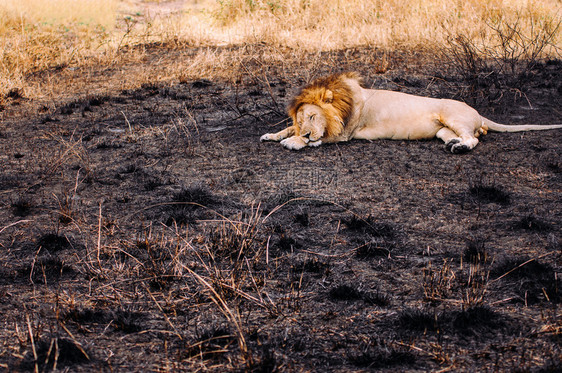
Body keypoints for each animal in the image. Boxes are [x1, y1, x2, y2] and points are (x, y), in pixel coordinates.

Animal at [260, 71, 560, 153]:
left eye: (312, 116)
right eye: (301, 118)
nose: (306, 132)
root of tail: (477, 111)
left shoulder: (345, 133)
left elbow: (318, 138)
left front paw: (295, 141)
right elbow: (285, 128)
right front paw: (273, 135)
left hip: (451, 115)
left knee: (474, 139)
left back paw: (460, 147)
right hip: (441, 130)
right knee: (465, 136)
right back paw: (453, 143)